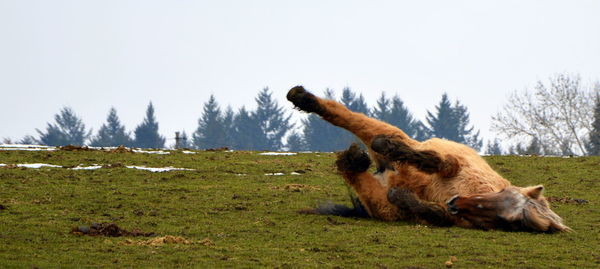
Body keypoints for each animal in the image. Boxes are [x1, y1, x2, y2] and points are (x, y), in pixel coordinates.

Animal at [288, 86, 568, 232]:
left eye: (506, 220)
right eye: (503, 194)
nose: (455, 202)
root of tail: (385, 171)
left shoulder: (440, 215)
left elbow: (431, 212)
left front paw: (404, 196)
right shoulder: (453, 162)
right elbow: (439, 161)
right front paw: (389, 146)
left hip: (377, 200)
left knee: (351, 170)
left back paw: (355, 158)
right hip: (389, 132)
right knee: (345, 116)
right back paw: (301, 97)